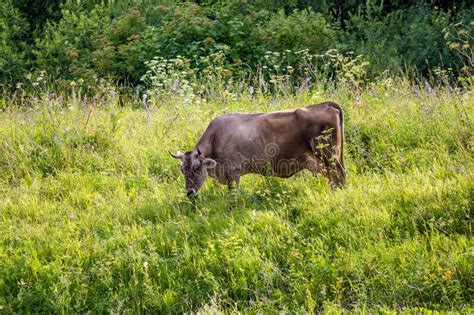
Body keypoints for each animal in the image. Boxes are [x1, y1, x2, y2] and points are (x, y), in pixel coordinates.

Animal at [169, 102, 344, 199]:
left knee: (339, 175)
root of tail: (325, 104)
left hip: (330, 157)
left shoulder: (234, 173)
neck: (216, 137)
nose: (190, 193)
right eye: (182, 170)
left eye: (197, 168)